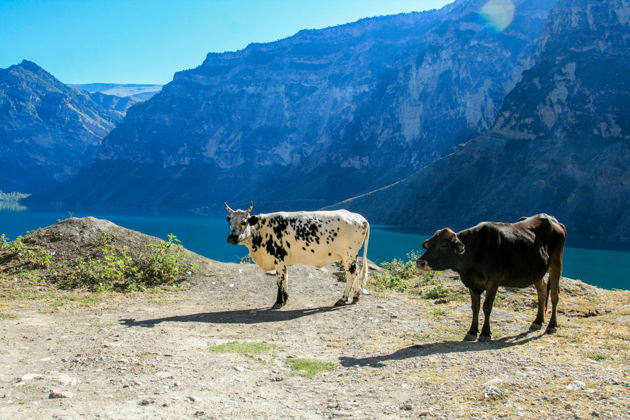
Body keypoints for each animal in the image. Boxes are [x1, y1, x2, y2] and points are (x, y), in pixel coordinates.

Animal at [227, 202, 372, 310]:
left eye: (244, 222)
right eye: (230, 222)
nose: (232, 238)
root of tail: (359, 217)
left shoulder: (278, 259)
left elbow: (279, 280)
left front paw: (278, 302)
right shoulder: (283, 261)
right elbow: (285, 279)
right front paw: (285, 299)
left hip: (348, 254)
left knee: (351, 274)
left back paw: (343, 299)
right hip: (350, 256)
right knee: (356, 273)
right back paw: (356, 297)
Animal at [420, 213, 568, 342]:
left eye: (443, 245)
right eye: (429, 244)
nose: (420, 262)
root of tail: (551, 219)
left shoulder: (493, 280)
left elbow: (487, 306)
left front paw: (485, 334)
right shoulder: (472, 283)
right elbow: (475, 307)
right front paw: (472, 332)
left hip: (556, 263)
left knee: (554, 295)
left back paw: (551, 325)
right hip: (536, 271)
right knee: (542, 292)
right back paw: (537, 322)